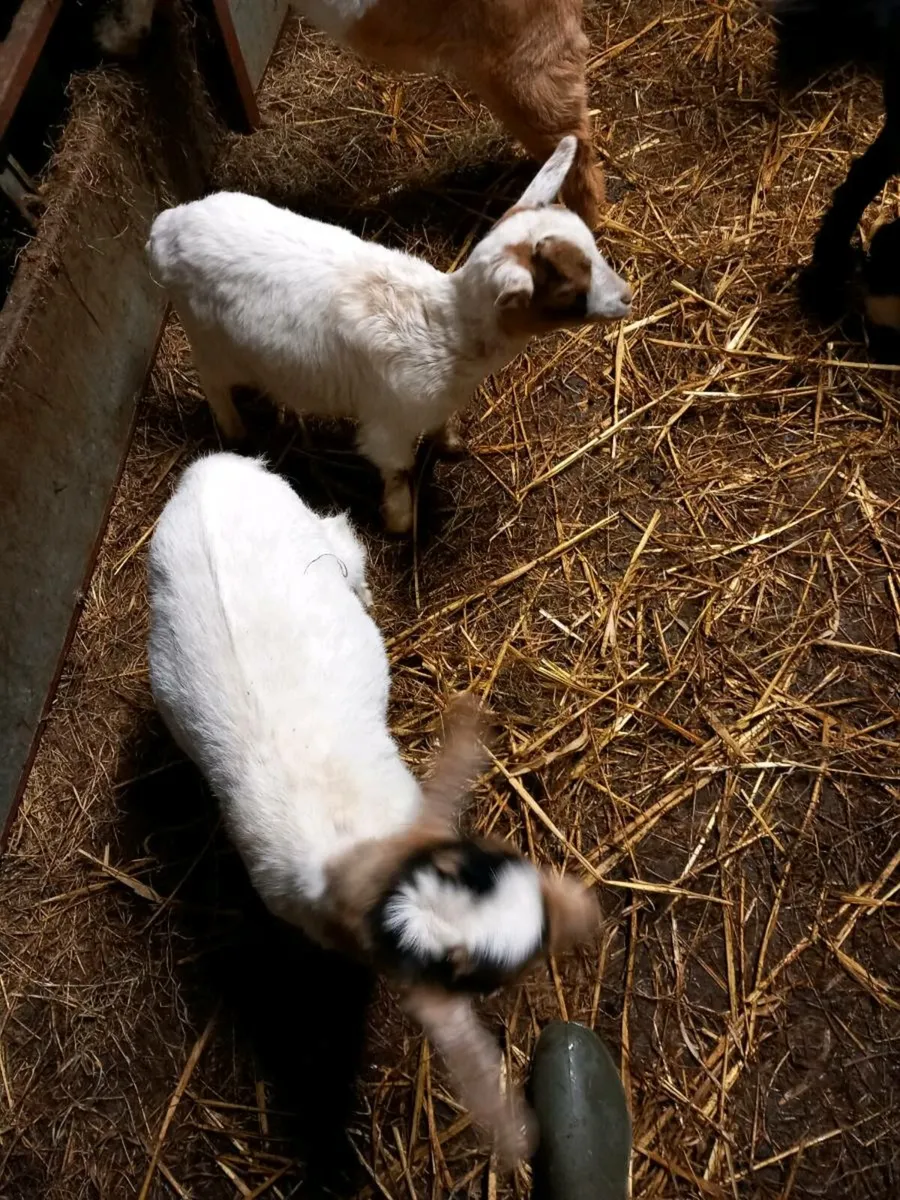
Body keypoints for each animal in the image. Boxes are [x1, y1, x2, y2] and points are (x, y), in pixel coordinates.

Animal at [146, 137, 631, 534]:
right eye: (568, 292)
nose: (627, 296)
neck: (444, 330)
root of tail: (166, 227)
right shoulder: (388, 424)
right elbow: (397, 469)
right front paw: (400, 521)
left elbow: (441, 425)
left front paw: (451, 444)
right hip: (209, 341)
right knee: (213, 385)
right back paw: (236, 431)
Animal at [147, 451, 601, 1165]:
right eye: (491, 976)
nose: (576, 919)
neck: (352, 849)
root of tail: (208, 471)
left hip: (306, 523)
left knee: (345, 542)